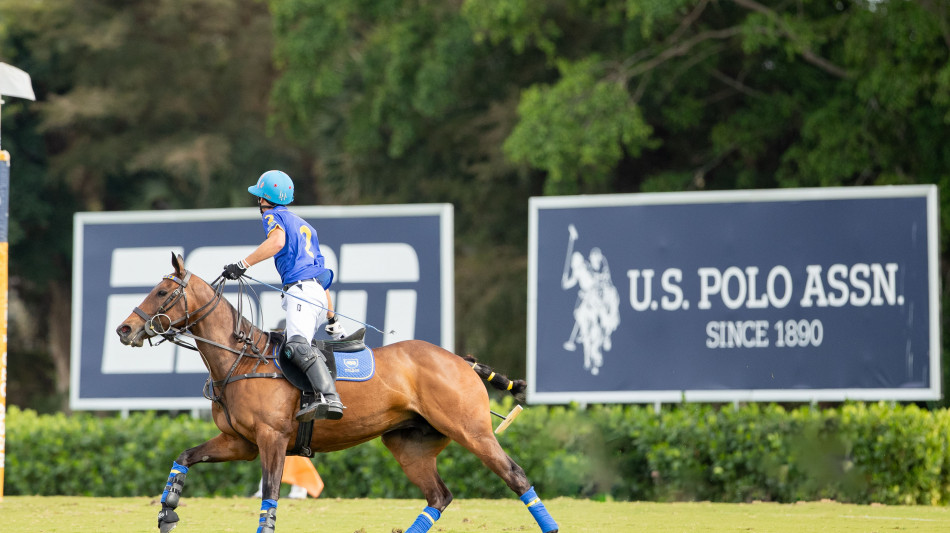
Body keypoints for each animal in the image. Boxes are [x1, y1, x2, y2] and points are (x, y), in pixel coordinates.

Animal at [115, 253, 558, 533]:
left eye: (162, 292)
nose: (124, 329)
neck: (242, 360)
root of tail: (461, 361)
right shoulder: (240, 442)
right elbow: (184, 458)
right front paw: (167, 513)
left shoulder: (272, 439)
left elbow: (270, 496)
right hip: (409, 444)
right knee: (439, 496)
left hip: (472, 430)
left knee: (515, 477)